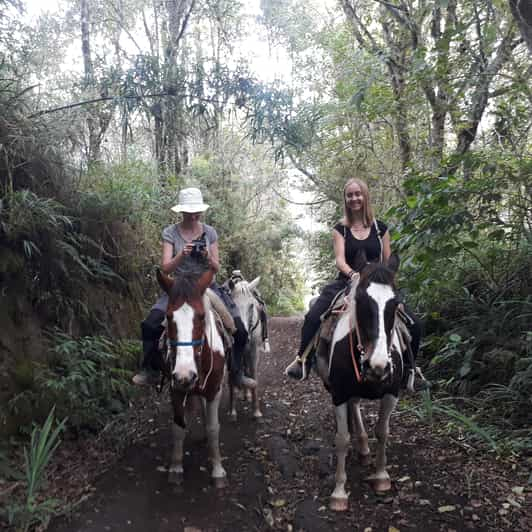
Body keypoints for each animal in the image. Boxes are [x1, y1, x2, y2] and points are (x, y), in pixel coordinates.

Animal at [227, 274, 264, 420]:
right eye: (232, 305)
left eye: (251, 306)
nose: (243, 337)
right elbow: (232, 377)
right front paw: (232, 411)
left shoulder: (253, 351)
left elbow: (253, 374)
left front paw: (256, 411)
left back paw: (246, 394)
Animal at [316, 251, 408, 510]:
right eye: (361, 300)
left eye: (395, 303)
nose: (378, 366)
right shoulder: (338, 394)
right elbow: (342, 439)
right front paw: (339, 492)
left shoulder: (392, 393)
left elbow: (383, 431)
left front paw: (381, 476)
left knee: (356, 405)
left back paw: (365, 450)